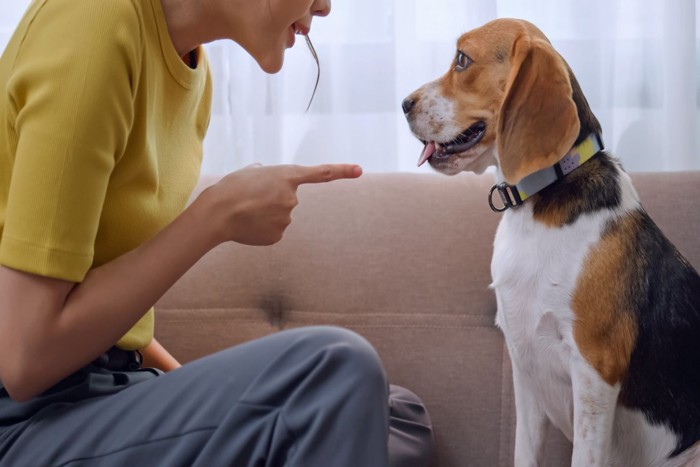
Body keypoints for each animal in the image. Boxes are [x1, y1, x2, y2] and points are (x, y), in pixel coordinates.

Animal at [402, 18, 700, 467]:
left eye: (462, 60)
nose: (404, 103)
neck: (535, 206)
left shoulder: (594, 374)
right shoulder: (525, 371)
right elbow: (524, 452)